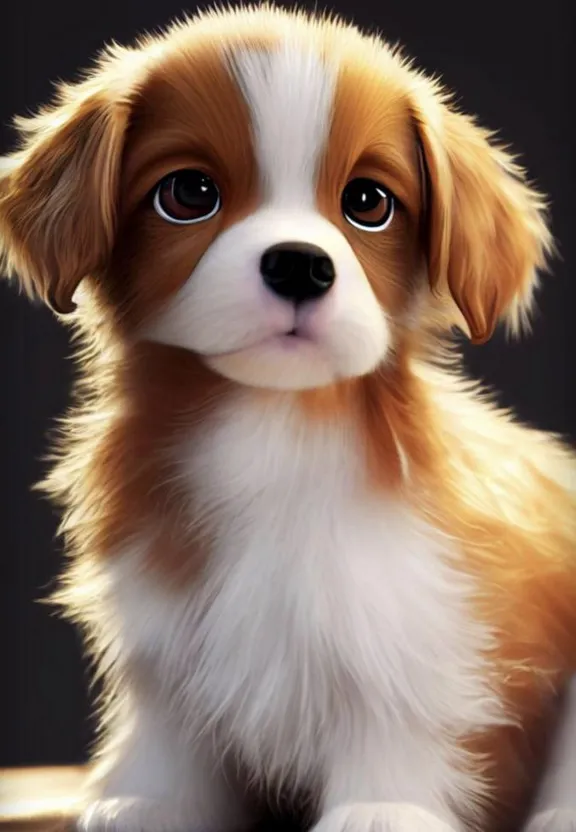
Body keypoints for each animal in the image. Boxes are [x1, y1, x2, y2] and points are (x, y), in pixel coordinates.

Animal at [1, 6, 576, 832]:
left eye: (369, 203)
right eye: (188, 194)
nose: (301, 262)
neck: (271, 422)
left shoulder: (409, 616)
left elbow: (396, 703)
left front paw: (380, 805)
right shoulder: (163, 628)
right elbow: (170, 724)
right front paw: (152, 798)